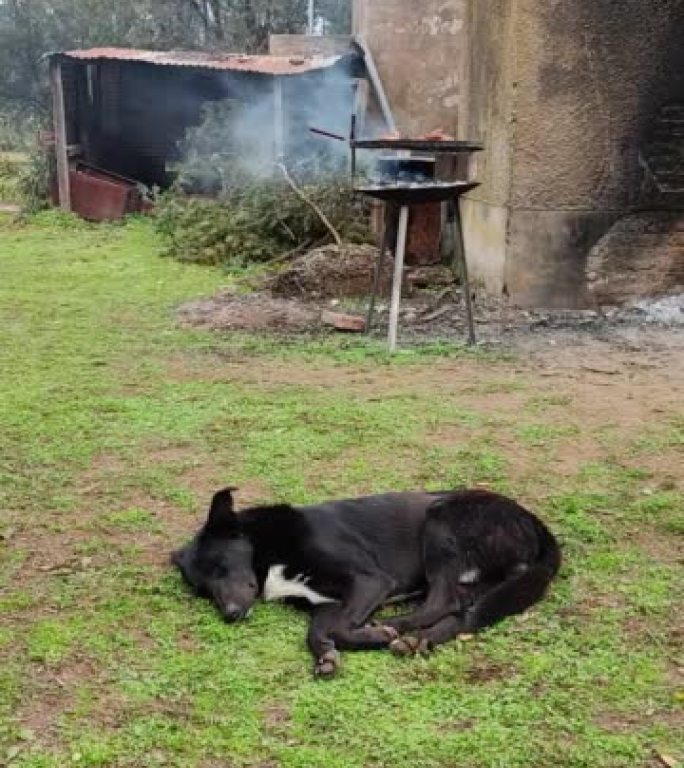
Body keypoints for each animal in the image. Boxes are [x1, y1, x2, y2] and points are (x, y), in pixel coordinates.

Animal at [172, 488, 560, 676]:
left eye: (220, 567)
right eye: (202, 590)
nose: (230, 615)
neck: (269, 549)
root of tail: (533, 522)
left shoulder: (370, 581)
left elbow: (341, 629)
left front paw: (372, 635)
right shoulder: (325, 603)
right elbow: (317, 633)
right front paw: (326, 656)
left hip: (439, 524)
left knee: (442, 602)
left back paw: (397, 628)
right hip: (479, 582)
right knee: (463, 615)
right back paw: (418, 641)